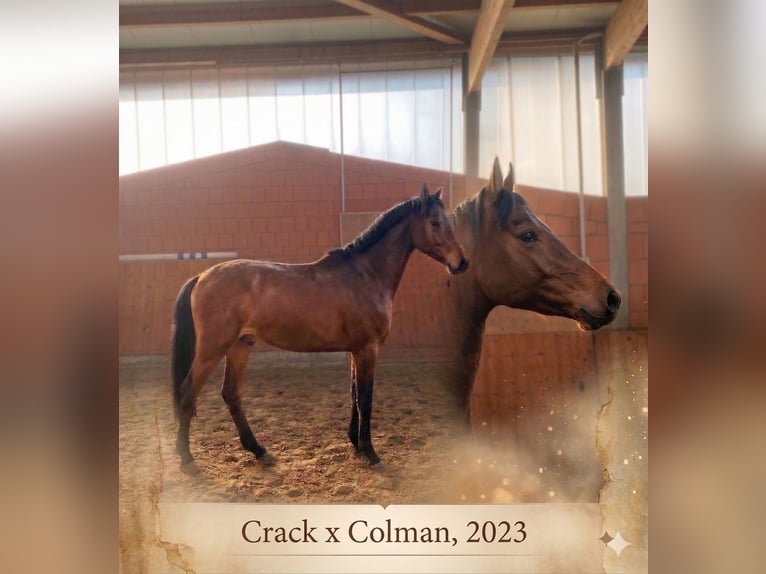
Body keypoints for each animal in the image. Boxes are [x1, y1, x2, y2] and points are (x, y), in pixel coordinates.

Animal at [171, 185, 468, 471]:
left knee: (231, 394)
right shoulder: (367, 350)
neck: (366, 275)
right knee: (188, 393)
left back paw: (259, 450)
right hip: (212, 350)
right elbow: (365, 400)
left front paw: (355, 444)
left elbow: (354, 396)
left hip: (240, 346)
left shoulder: (356, 351)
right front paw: (370, 452)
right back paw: (187, 458)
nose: (461, 263)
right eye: (434, 222)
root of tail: (201, 277)